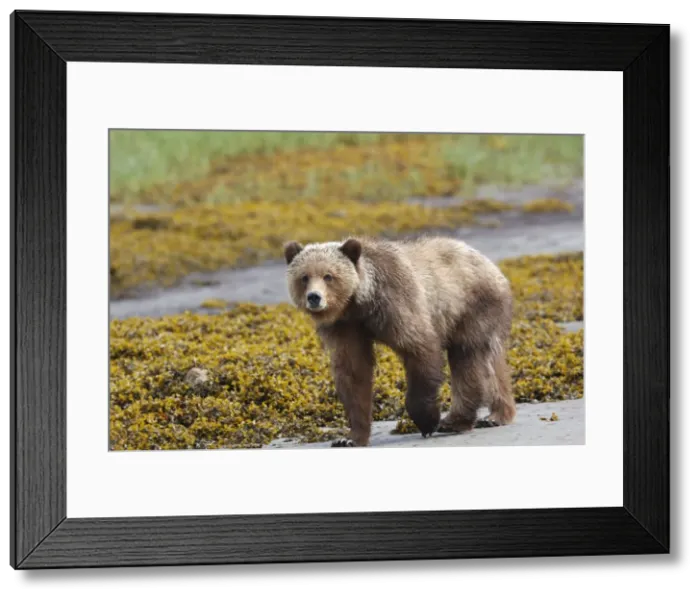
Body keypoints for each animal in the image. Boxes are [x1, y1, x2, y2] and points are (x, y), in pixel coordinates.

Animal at [283, 235, 516, 448]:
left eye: (328, 276)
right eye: (304, 277)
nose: (314, 297)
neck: (360, 304)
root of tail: (490, 264)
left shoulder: (396, 304)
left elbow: (418, 348)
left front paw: (426, 420)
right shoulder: (346, 327)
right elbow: (353, 373)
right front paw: (349, 438)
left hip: (471, 306)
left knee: (469, 359)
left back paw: (456, 421)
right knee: (488, 362)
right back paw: (496, 414)